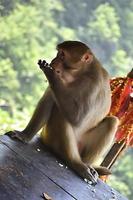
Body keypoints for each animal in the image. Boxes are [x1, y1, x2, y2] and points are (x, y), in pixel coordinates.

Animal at [5, 40, 119, 184]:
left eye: (62, 55)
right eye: (58, 53)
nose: (54, 61)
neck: (80, 74)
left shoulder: (94, 83)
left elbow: (78, 118)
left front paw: (51, 74)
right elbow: (49, 98)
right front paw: (24, 135)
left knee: (110, 122)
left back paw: (80, 164)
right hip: (50, 136)